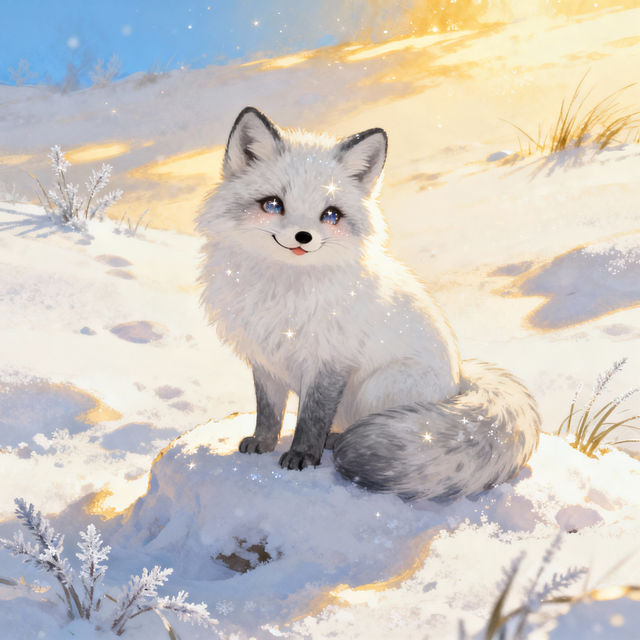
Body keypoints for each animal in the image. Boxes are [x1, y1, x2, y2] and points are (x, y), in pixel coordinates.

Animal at [196, 106, 540, 502]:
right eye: (272, 204)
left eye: (330, 215)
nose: (303, 237)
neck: (283, 290)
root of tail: (458, 379)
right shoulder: (266, 358)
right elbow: (268, 411)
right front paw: (262, 444)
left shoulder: (330, 360)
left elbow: (312, 417)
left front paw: (302, 456)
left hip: (377, 388)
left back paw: (336, 440)